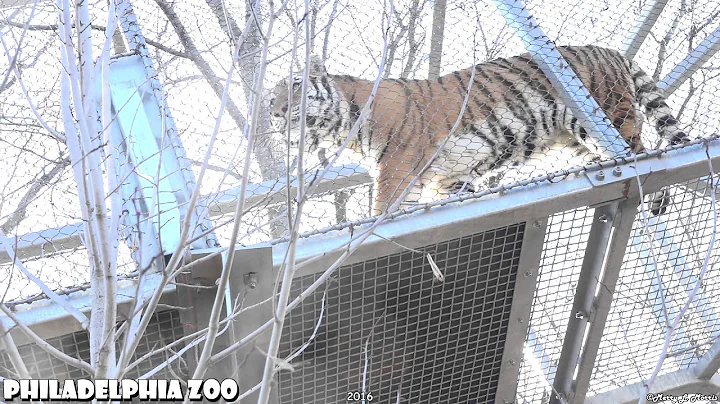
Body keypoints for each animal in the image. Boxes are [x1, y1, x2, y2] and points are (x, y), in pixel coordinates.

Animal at [269, 45, 689, 216]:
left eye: (293, 85)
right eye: (270, 102)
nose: (275, 112)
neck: (346, 128)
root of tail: (610, 50)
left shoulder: (397, 170)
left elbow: (384, 208)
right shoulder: (450, 177)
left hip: (605, 114)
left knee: (644, 153)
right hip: (576, 138)